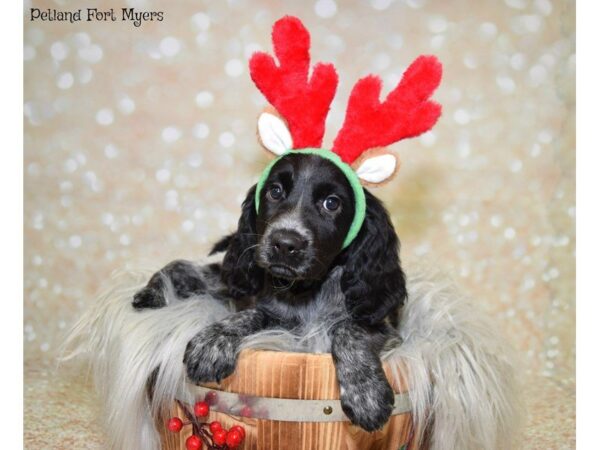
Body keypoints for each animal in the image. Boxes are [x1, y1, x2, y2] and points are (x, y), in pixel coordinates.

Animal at [134, 152, 408, 432]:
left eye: (332, 203)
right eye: (275, 191)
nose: (285, 244)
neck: (306, 290)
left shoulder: (388, 331)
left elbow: (348, 329)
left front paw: (366, 394)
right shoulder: (274, 319)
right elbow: (252, 314)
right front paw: (213, 341)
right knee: (180, 266)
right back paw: (151, 294)